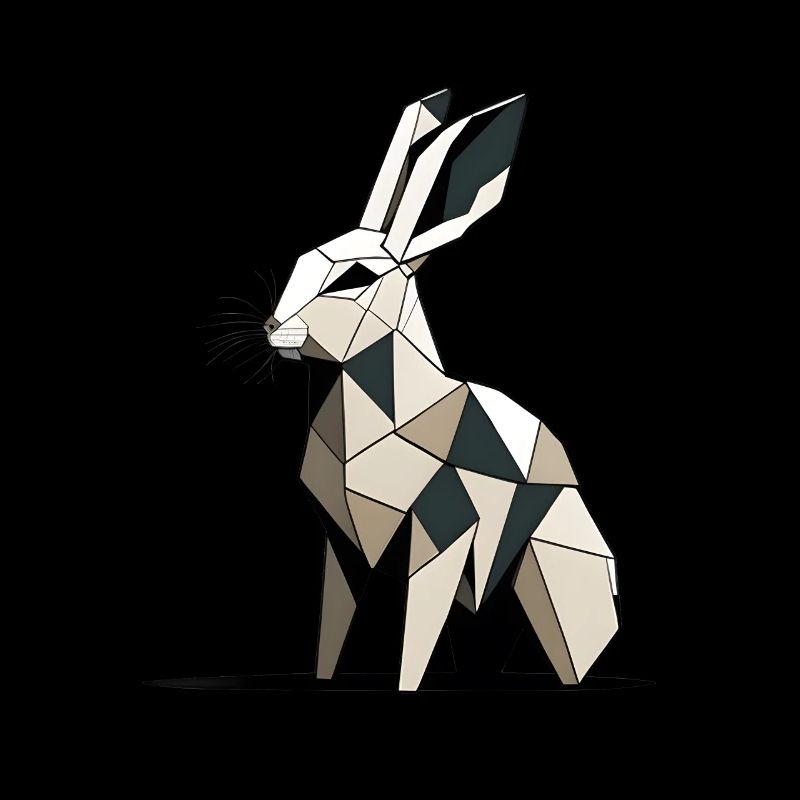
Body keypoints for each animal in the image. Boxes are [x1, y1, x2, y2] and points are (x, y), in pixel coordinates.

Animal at [263, 90, 618, 691]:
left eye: (354, 278)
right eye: (300, 263)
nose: (272, 327)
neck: (396, 413)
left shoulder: (443, 536)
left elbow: (416, 635)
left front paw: (406, 689)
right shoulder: (342, 545)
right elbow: (334, 628)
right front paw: (322, 683)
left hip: (552, 566)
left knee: (574, 646)